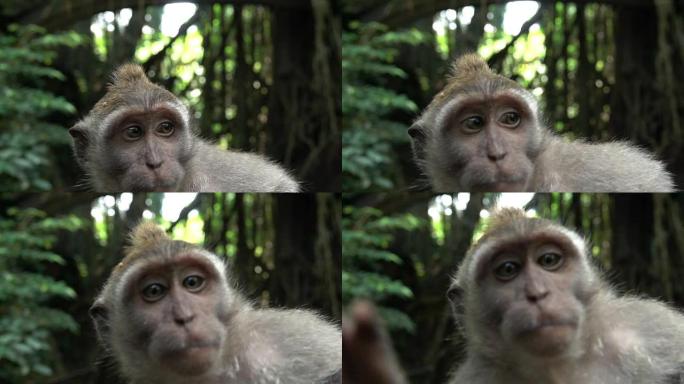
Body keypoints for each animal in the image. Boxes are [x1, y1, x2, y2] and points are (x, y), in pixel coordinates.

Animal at [342, 210, 684, 384]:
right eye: (508, 269)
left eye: (549, 260)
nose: (538, 294)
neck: (557, 367)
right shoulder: (477, 379)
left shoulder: (650, 330)